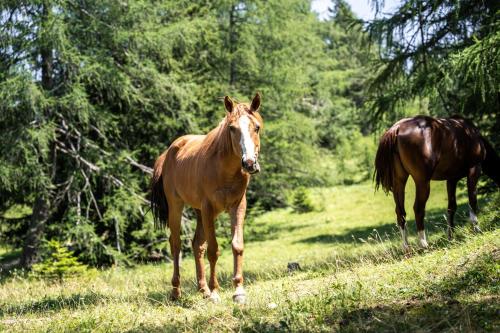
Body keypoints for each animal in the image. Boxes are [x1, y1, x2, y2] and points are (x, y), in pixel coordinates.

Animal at [150, 93, 264, 304]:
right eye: (232, 128)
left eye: (257, 127)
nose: (249, 163)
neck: (225, 170)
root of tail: (168, 153)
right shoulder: (208, 208)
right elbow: (213, 250)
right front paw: (216, 292)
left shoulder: (238, 206)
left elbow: (237, 246)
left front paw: (238, 291)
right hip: (176, 207)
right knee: (176, 244)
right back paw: (176, 291)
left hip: (198, 212)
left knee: (197, 245)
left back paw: (203, 289)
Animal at [376, 115, 500, 248]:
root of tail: (397, 128)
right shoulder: (474, 169)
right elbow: (472, 200)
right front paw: (476, 228)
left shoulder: (451, 179)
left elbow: (451, 207)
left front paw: (450, 236)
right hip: (422, 182)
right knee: (418, 208)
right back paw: (424, 244)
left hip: (399, 182)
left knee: (400, 212)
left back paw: (406, 247)